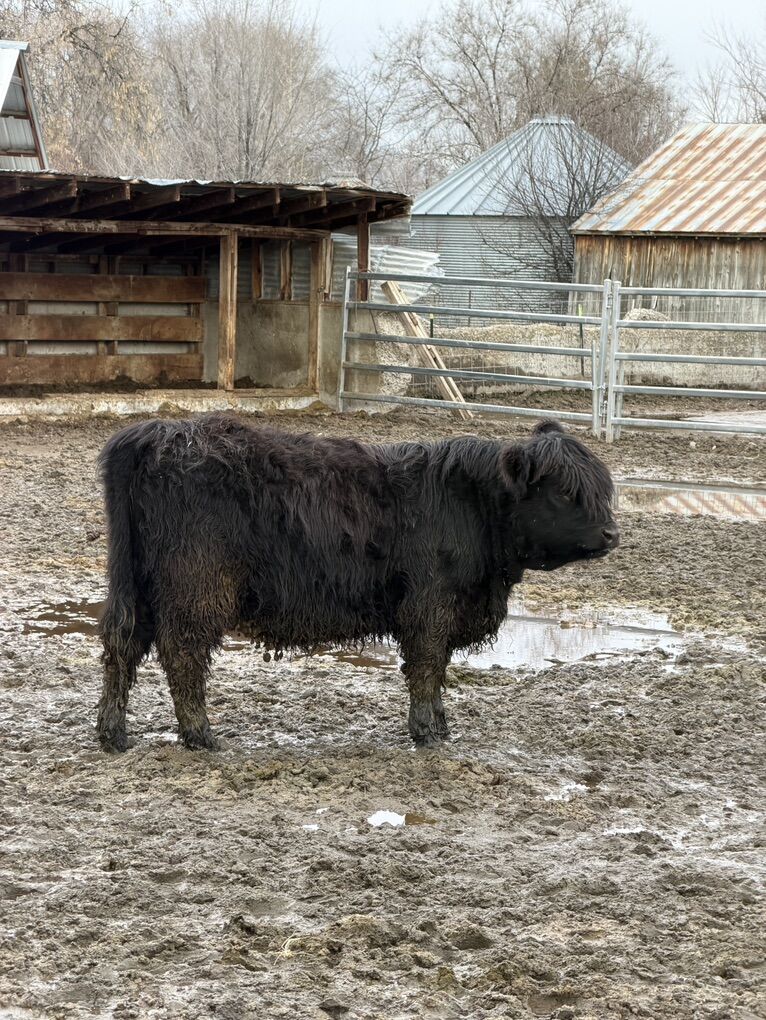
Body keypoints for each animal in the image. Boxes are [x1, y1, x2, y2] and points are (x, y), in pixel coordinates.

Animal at [95, 414, 618, 752]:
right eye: (565, 492)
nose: (612, 534)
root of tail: (156, 432)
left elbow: (437, 670)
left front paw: (440, 726)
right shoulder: (430, 606)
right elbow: (427, 668)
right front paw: (428, 732)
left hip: (136, 583)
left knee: (122, 643)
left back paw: (112, 734)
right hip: (198, 587)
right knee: (181, 653)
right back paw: (200, 735)